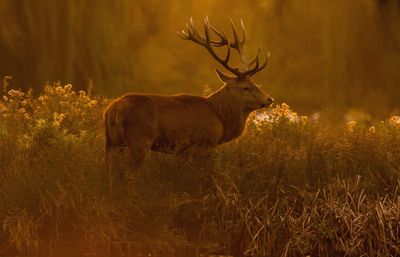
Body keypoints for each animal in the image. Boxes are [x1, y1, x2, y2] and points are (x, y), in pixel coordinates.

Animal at [103, 17, 274, 169]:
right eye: (245, 87)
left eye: (255, 83)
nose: (269, 99)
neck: (220, 118)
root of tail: (113, 111)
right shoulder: (204, 143)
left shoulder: (183, 151)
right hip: (139, 140)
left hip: (111, 142)